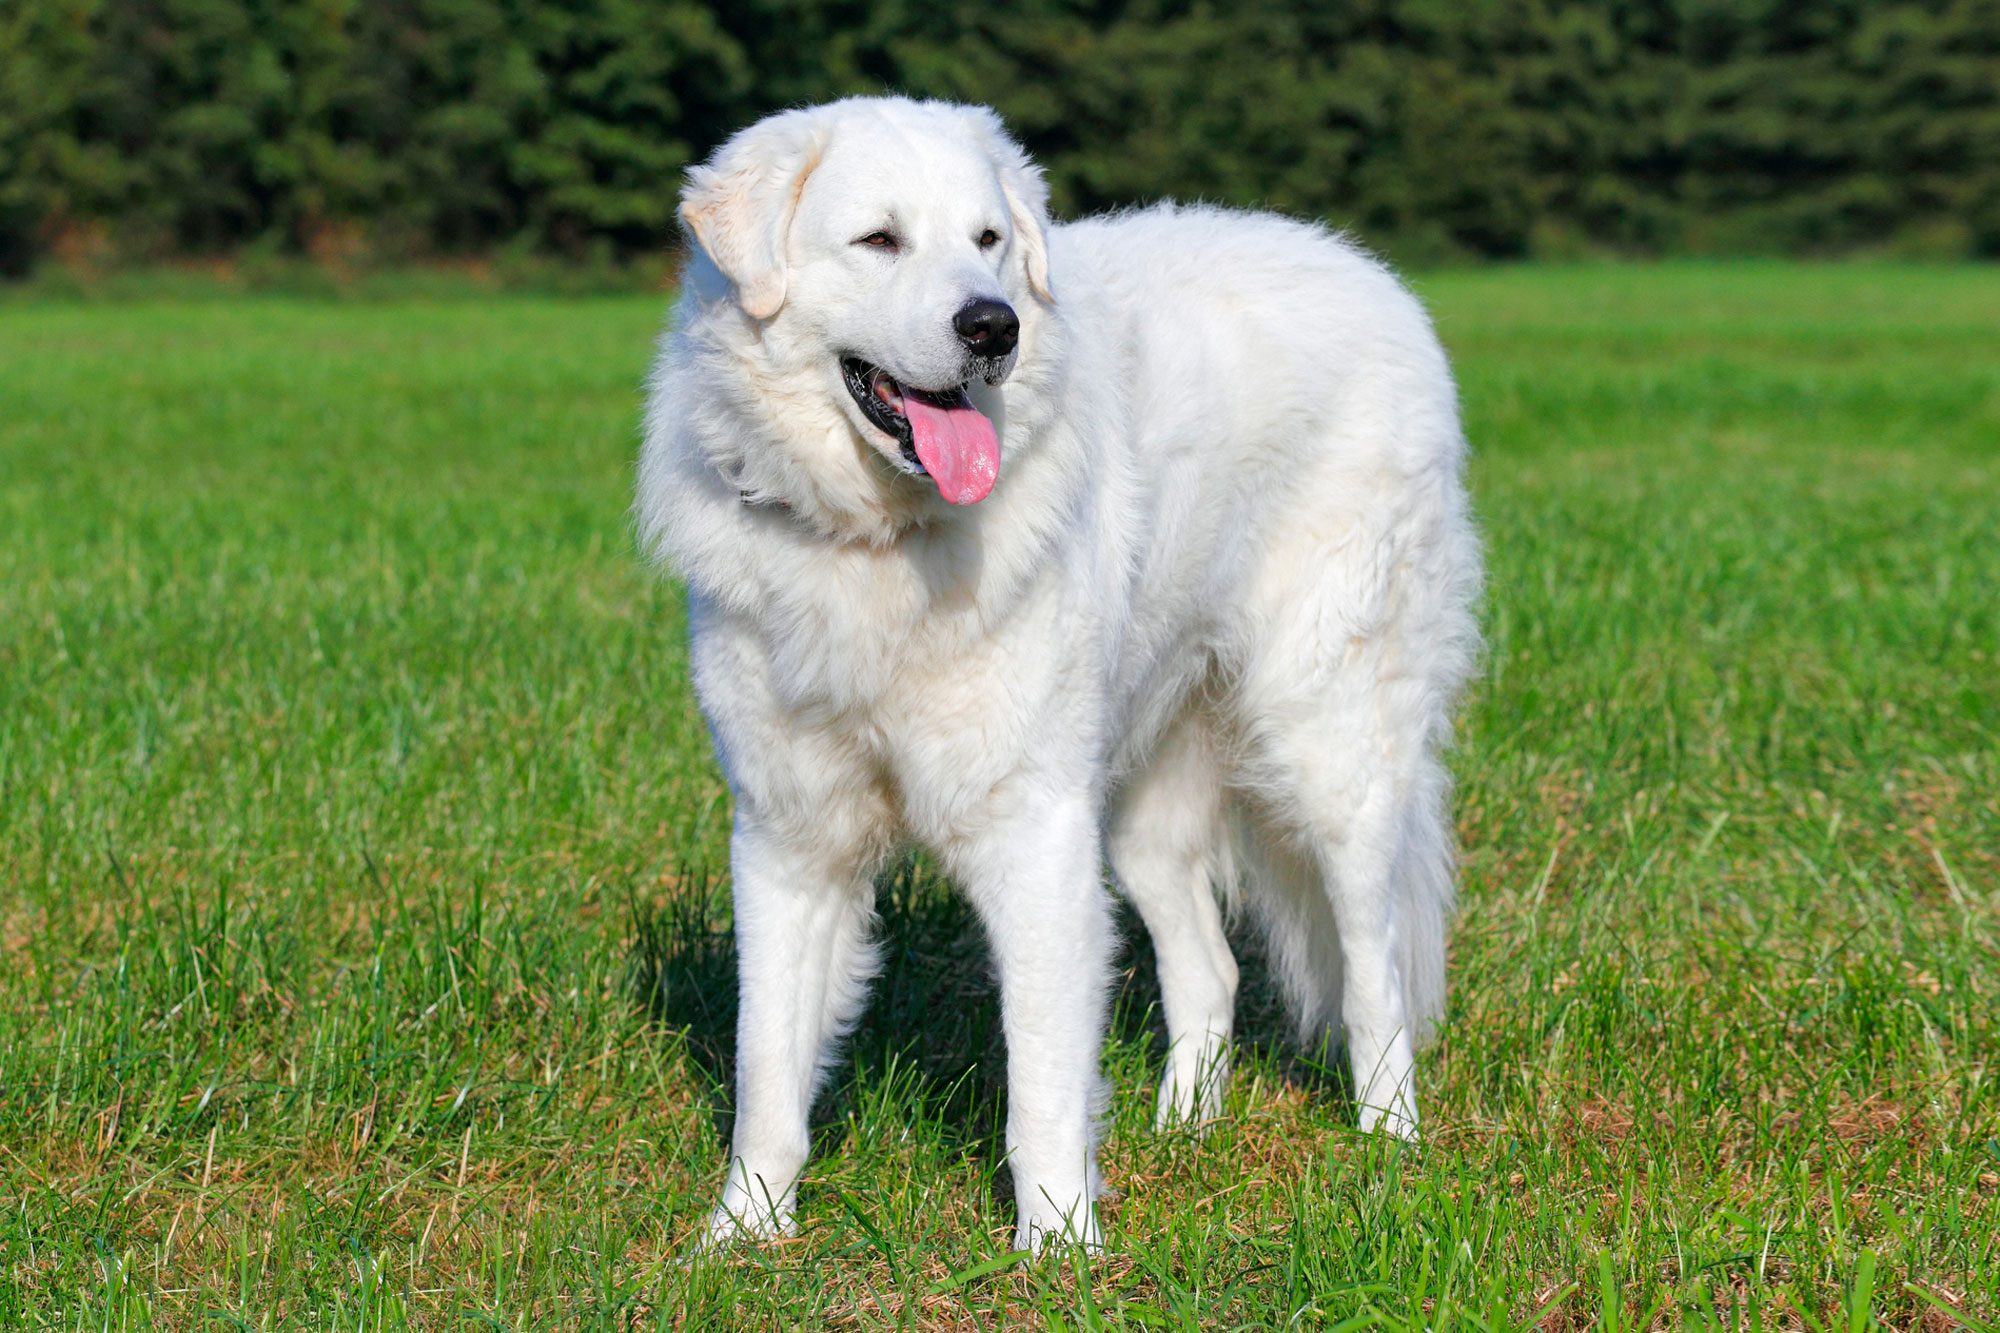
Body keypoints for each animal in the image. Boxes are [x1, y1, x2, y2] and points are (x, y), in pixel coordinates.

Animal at [640, 93, 1488, 1248]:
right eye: (879, 241)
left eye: (989, 240)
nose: (992, 326)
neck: (878, 547)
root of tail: (1368, 273)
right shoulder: (788, 835)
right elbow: (766, 1061)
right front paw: (743, 1235)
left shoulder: (1033, 831)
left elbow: (1039, 1077)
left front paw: (1056, 1246)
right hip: (1136, 800)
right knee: (1212, 967)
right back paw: (1183, 1129)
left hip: (1327, 750)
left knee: (1374, 969)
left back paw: (1389, 1146)